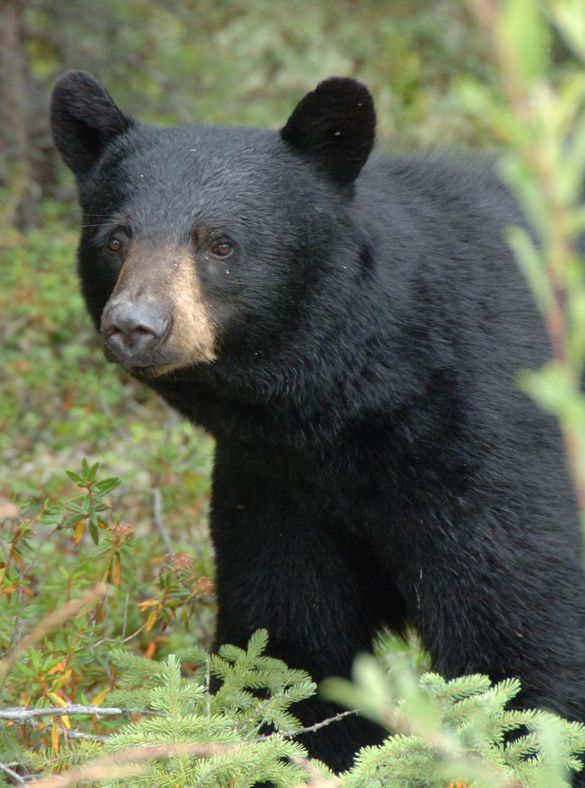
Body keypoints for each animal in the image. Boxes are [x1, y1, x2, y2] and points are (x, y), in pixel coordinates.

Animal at [50, 71, 585, 776]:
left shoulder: (493, 438)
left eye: (220, 242)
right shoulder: (279, 487)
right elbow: (289, 645)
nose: (135, 325)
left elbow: (523, 641)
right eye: (115, 239)